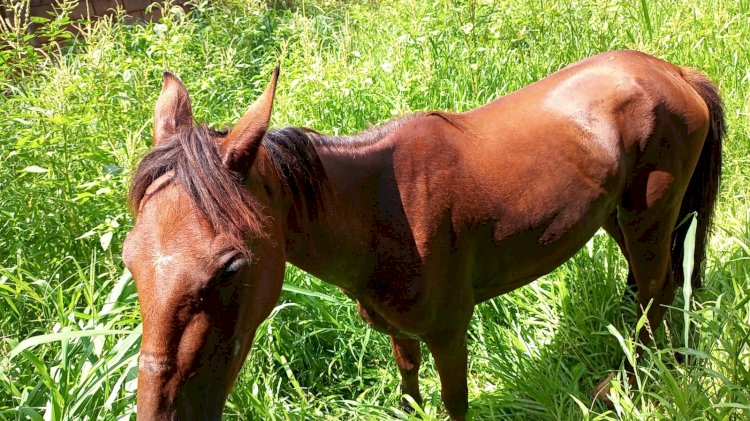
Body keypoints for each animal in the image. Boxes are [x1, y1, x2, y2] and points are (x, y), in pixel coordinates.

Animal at [122, 50, 724, 418]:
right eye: (130, 259)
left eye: (231, 268)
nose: (162, 413)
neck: (377, 215)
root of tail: (674, 73)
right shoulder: (397, 329)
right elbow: (409, 382)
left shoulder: (450, 332)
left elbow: (454, 400)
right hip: (617, 217)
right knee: (657, 286)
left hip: (648, 216)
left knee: (656, 291)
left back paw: (625, 384)